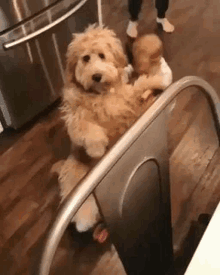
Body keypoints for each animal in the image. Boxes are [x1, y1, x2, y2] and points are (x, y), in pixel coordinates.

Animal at [56, 24, 167, 235]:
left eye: (102, 55)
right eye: (85, 58)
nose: (96, 76)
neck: (101, 94)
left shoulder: (127, 104)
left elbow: (141, 85)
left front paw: (157, 82)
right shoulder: (75, 117)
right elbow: (86, 128)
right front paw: (97, 148)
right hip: (77, 177)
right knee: (86, 214)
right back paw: (90, 223)